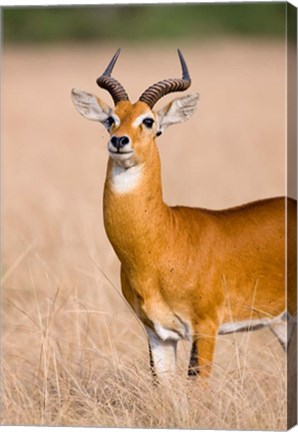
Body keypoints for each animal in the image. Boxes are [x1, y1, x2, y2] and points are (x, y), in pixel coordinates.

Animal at [71, 49, 296, 378]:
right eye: (111, 118)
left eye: (148, 120)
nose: (119, 140)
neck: (165, 239)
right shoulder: (158, 333)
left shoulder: (206, 327)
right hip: (281, 323)